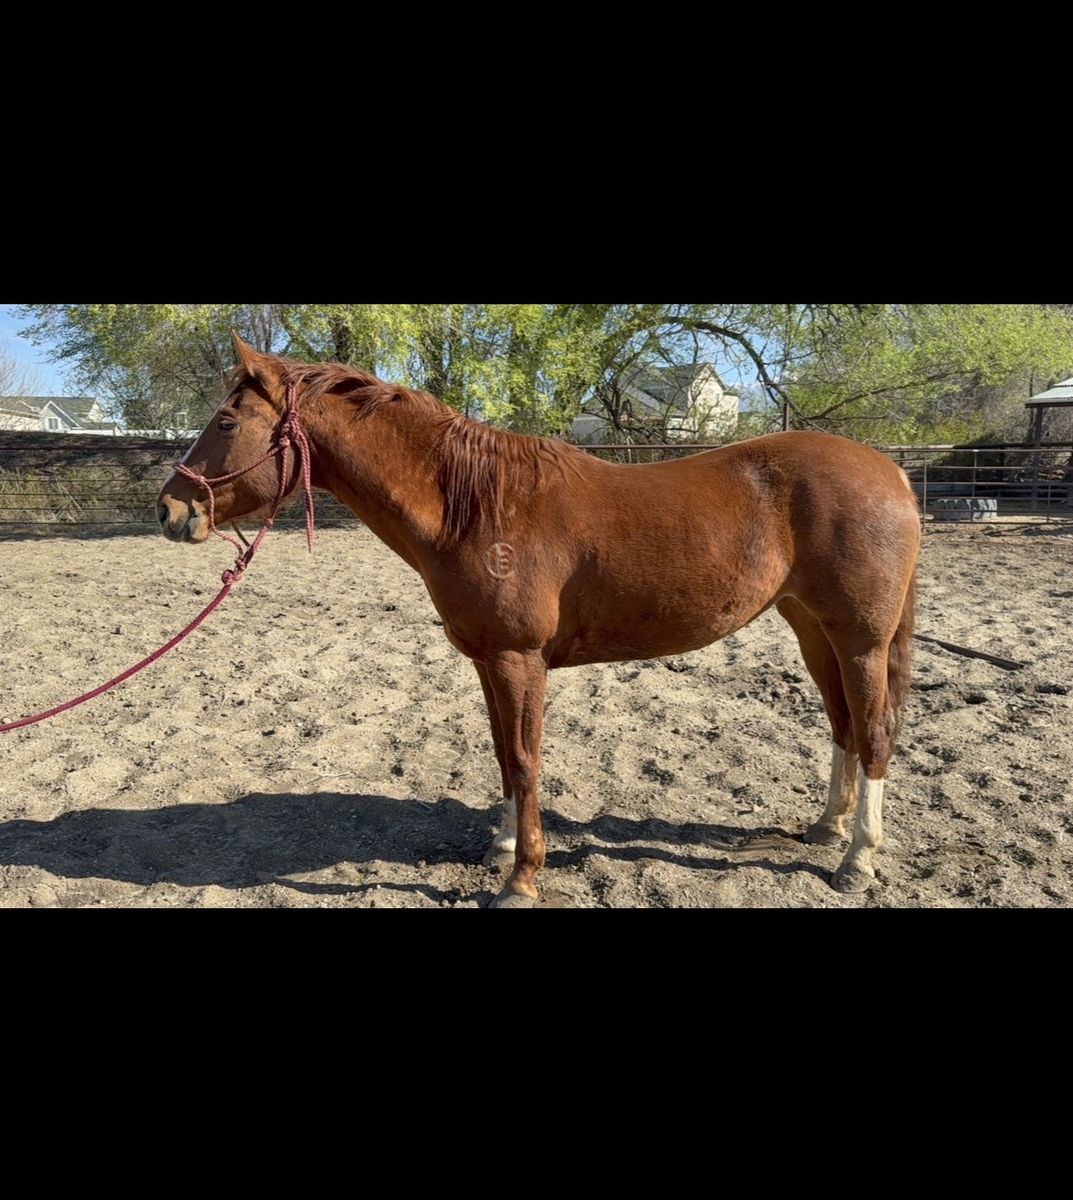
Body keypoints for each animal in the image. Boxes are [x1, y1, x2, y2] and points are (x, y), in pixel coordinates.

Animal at [157, 333, 921, 908]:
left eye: (226, 423)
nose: (170, 510)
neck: (474, 507)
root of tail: (890, 473)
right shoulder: (487, 659)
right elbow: (503, 754)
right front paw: (499, 846)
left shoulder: (518, 659)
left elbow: (526, 762)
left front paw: (520, 879)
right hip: (811, 629)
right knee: (843, 726)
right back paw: (826, 829)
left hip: (860, 638)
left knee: (875, 731)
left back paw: (856, 862)